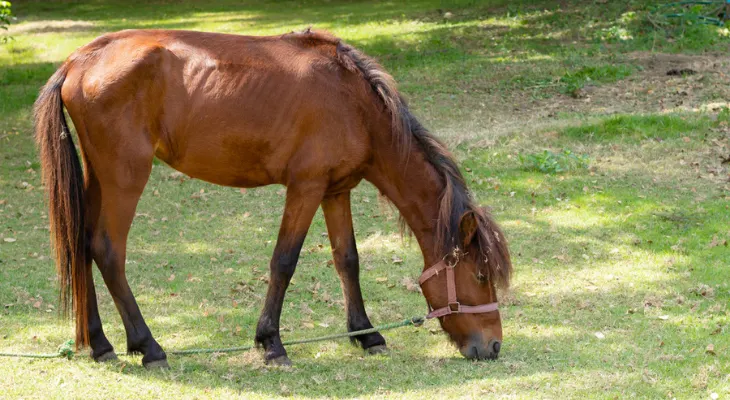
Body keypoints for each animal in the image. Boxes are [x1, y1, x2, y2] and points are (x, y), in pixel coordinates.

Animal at [34, 28, 512, 368]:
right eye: (481, 275)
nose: (492, 346)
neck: (354, 103)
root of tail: (79, 61)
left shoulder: (336, 191)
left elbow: (348, 260)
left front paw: (366, 334)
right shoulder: (305, 188)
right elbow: (284, 261)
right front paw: (271, 343)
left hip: (100, 176)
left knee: (81, 244)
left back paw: (100, 344)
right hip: (125, 178)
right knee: (107, 250)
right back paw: (148, 346)